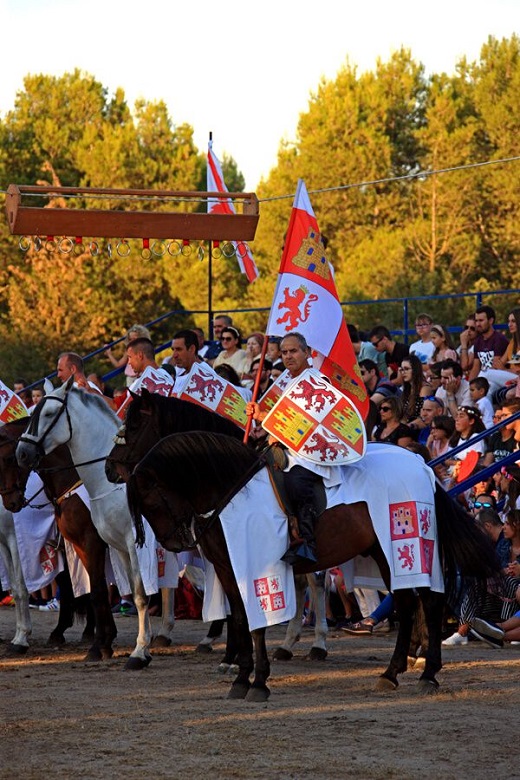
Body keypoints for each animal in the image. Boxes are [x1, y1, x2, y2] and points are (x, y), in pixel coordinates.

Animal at [0, 418, 116, 660]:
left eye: (9, 458)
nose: (11, 503)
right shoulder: (3, 543)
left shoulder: (16, 542)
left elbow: (21, 588)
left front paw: (21, 639)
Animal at [15, 380, 176, 672]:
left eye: (48, 413)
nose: (22, 453)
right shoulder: (110, 546)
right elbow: (105, 592)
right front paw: (111, 647)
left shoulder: (124, 544)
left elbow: (136, 594)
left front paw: (134, 651)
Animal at [106, 394, 330, 660]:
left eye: (134, 426)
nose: (109, 469)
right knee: (303, 582)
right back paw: (288, 644)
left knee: (316, 583)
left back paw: (318, 644)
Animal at [125, 430, 500, 704]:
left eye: (152, 500)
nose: (175, 543)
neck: (233, 494)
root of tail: (422, 466)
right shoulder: (231, 571)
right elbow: (242, 621)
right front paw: (242, 678)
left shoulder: (257, 567)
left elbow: (257, 626)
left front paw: (259, 682)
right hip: (383, 552)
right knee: (407, 604)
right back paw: (390, 673)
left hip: (410, 548)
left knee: (431, 603)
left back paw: (428, 674)